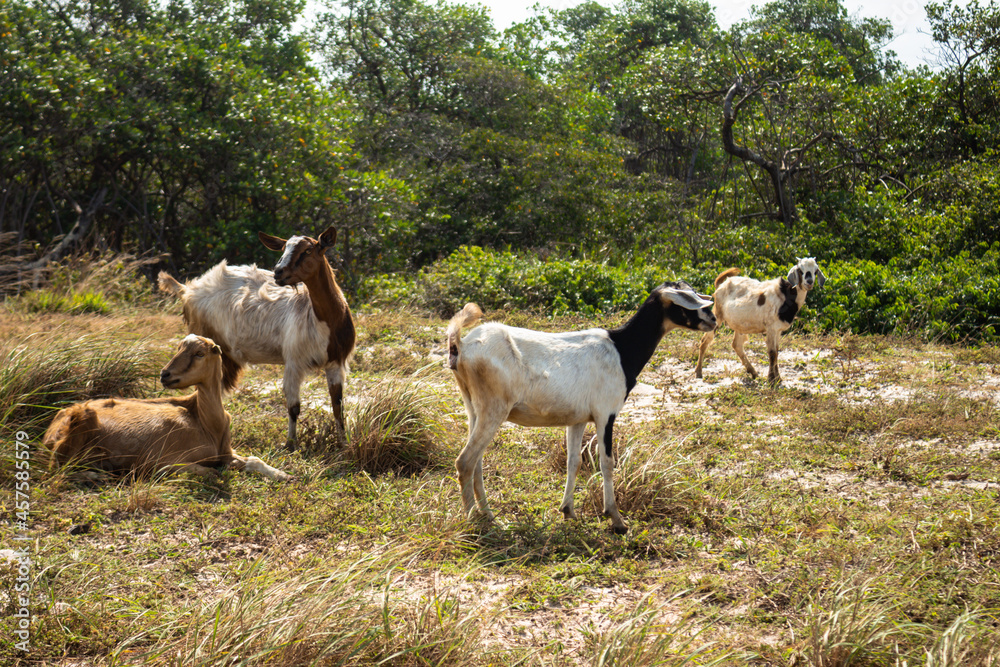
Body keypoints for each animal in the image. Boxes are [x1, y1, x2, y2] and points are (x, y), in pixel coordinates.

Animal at [45, 334, 292, 480]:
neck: (204, 420)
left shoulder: (225, 452)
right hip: (81, 421)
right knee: (57, 469)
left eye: (199, 353)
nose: (165, 374)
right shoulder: (163, 462)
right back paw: (99, 476)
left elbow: (254, 460)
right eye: (178, 349)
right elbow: (211, 473)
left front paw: (284, 475)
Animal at [448, 280, 720, 532]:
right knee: (465, 461)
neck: (622, 348)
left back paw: (489, 515)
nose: (713, 320)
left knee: (476, 462)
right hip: (494, 409)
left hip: (473, 408)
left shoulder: (577, 419)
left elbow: (574, 461)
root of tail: (462, 346)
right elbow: (607, 462)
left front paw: (568, 511)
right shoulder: (605, 413)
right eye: (686, 301)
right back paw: (471, 520)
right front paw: (616, 519)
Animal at [696, 258, 828, 384]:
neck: (786, 295)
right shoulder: (771, 328)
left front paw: (778, 378)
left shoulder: (778, 330)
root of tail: (721, 284)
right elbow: (772, 352)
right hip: (717, 315)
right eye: (801, 270)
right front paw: (771, 379)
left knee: (737, 345)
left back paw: (753, 372)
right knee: (705, 341)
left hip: (740, 324)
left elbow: (777, 351)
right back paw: (699, 372)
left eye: (816, 270)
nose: (809, 282)